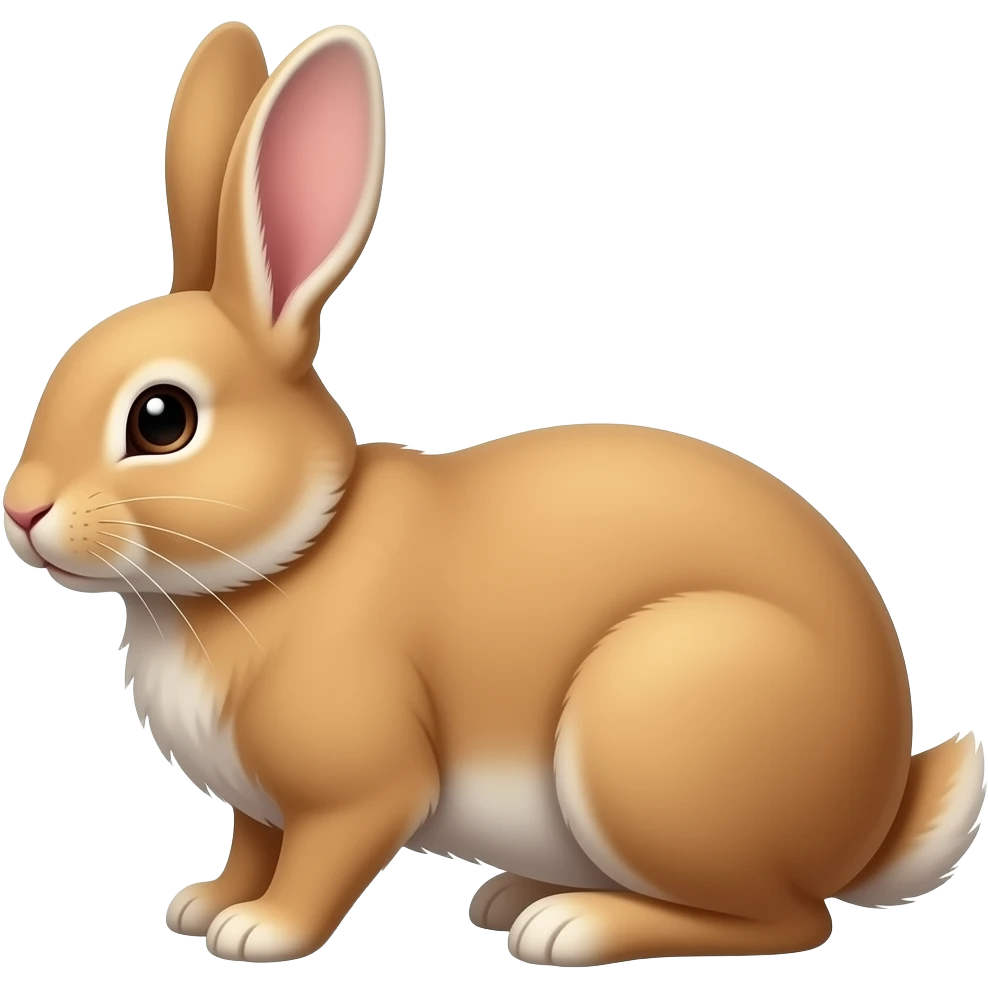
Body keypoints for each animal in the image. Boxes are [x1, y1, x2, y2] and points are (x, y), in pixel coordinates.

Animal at [2, 20, 985, 968]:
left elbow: (320, 861)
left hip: (653, 730)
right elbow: (251, 844)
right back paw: (513, 896)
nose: (22, 509)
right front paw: (203, 905)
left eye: (161, 420)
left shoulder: (359, 785)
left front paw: (259, 934)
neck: (292, 554)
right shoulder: (258, 805)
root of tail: (873, 815)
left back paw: (570, 927)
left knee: (787, 920)